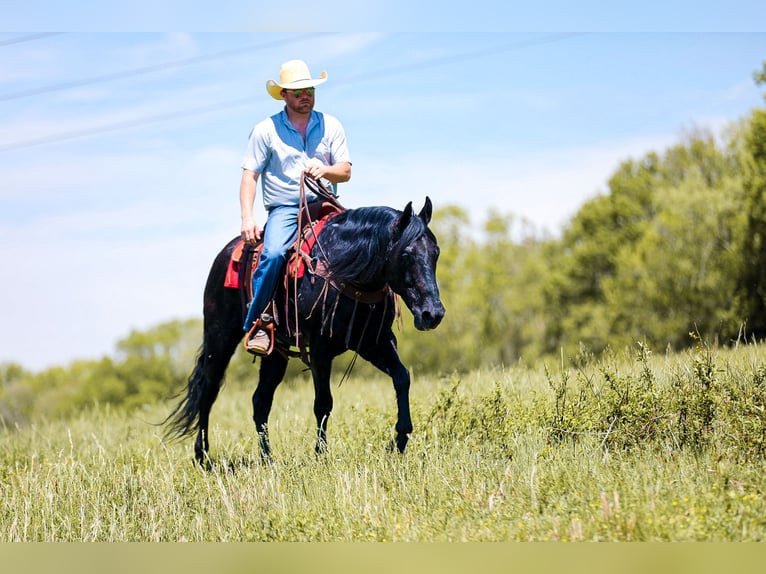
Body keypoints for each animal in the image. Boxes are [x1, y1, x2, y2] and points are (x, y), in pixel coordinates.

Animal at [164, 196, 445, 464]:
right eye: (406, 254)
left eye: (436, 253)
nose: (433, 314)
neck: (344, 268)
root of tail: (226, 254)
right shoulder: (320, 349)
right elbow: (323, 403)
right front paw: (321, 455)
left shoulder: (374, 342)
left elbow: (402, 377)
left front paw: (400, 440)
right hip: (220, 337)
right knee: (208, 390)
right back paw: (203, 456)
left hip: (275, 351)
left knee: (260, 400)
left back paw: (267, 459)